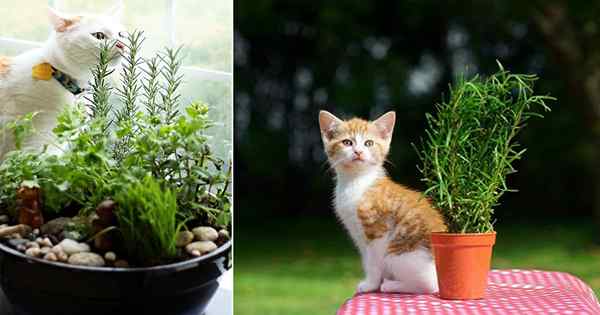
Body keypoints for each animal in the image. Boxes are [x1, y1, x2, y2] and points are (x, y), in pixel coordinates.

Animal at [318, 110, 446, 294]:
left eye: (369, 143)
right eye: (347, 142)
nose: (358, 151)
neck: (357, 181)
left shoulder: (377, 229)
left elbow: (372, 261)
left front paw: (370, 285)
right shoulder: (358, 234)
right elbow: (366, 259)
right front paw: (371, 282)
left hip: (399, 254)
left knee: (430, 285)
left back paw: (391, 285)